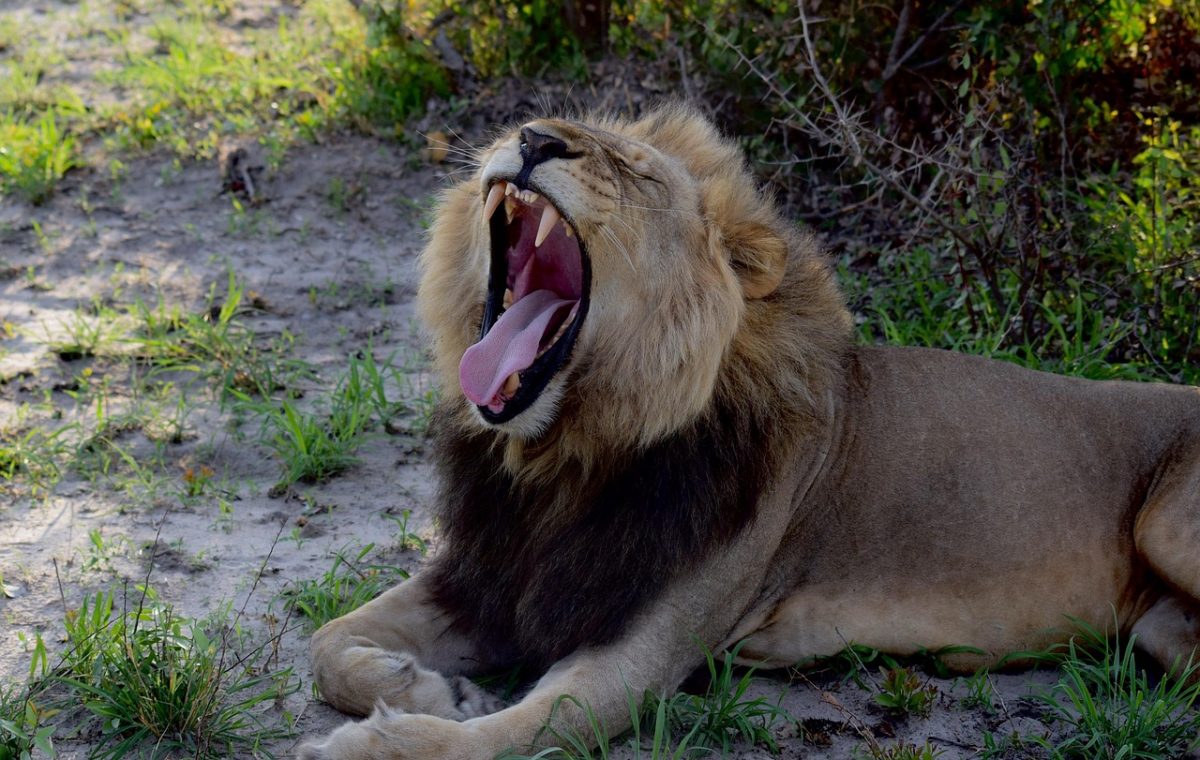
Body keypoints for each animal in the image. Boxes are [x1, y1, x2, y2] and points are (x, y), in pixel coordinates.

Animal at [299, 105, 1200, 759]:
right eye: (528, 121)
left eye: (631, 170)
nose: (531, 139)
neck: (560, 457)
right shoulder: (494, 571)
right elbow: (327, 641)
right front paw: (425, 688)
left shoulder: (642, 651)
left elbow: (512, 732)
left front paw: (372, 746)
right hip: (1158, 632)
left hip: (1166, 527)